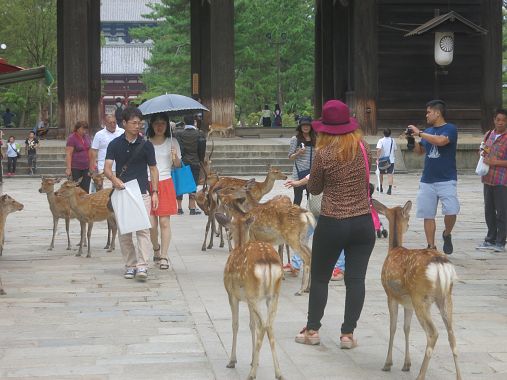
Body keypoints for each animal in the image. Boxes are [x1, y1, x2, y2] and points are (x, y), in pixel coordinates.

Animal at [215, 209, 284, 378]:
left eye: (229, 228)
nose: (227, 234)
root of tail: (267, 261)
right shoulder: (247, 298)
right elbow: (251, 325)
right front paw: (253, 359)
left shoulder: (232, 295)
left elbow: (236, 324)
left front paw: (232, 360)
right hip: (273, 295)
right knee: (269, 325)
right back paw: (278, 372)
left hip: (255, 295)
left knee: (263, 325)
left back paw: (252, 374)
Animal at [372, 199, 462, 380]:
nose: (408, 225)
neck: (394, 249)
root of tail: (440, 265)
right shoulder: (408, 303)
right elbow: (406, 328)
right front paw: (406, 364)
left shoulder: (390, 295)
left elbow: (392, 327)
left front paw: (388, 363)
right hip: (445, 297)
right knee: (452, 335)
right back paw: (459, 377)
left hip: (421, 298)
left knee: (433, 333)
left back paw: (420, 375)